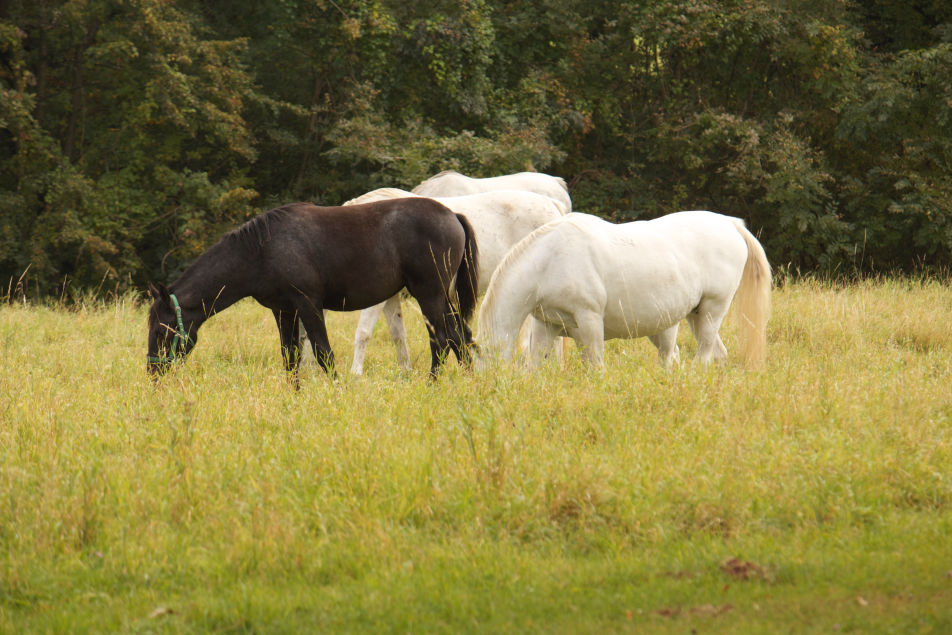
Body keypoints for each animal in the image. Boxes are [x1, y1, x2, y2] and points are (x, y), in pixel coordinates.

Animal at [146, 199, 480, 378]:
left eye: (162, 330)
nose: (153, 372)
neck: (262, 251)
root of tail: (453, 215)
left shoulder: (308, 304)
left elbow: (323, 353)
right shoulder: (284, 311)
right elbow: (290, 356)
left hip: (429, 295)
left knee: (442, 340)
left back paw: (432, 385)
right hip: (441, 298)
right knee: (459, 338)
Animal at [342, 186, 564, 376]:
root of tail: (552, 204)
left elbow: (363, 332)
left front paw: (355, 374)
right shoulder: (390, 296)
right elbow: (398, 334)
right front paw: (405, 372)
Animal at [480, 211, 768, 368]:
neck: (549, 259)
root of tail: (731, 224)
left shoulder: (589, 321)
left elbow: (595, 366)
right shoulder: (546, 326)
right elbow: (538, 364)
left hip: (712, 309)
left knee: (705, 354)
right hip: (693, 315)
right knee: (714, 354)